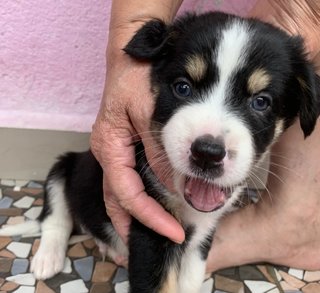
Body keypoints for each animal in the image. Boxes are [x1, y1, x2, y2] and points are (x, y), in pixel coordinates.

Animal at [1, 12, 318, 292]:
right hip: (65, 166)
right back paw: (48, 259)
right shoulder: (151, 227)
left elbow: (190, 280)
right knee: (55, 217)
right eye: (182, 88)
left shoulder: (202, 235)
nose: (207, 152)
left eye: (261, 102)